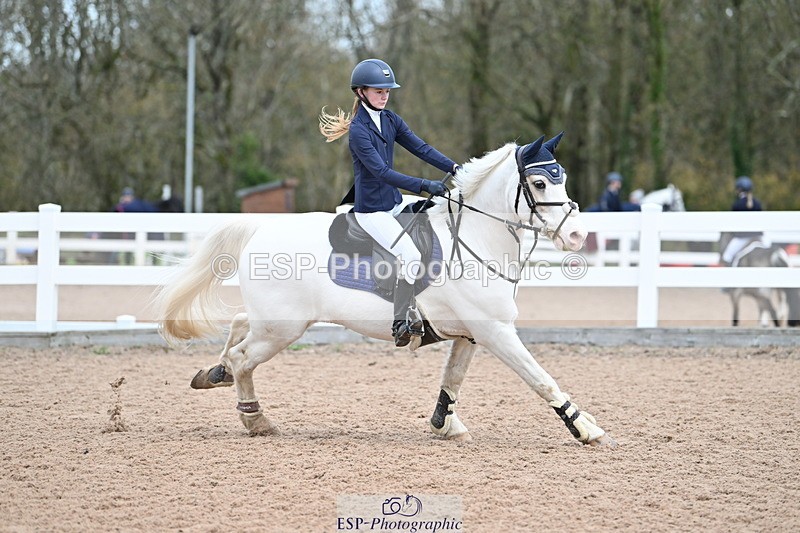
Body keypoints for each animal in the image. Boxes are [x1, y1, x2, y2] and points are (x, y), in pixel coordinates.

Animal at [155, 133, 618, 447]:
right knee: (242, 357)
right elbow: (542, 380)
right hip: (281, 329)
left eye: (561, 178)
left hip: (272, 321)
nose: (577, 236)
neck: (476, 237)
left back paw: (214, 373)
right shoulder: (496, 332)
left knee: (236, 328)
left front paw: (445, 424)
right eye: (539, 185)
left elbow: (452, 379)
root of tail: (259, 228)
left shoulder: (471, 333)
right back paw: (255, 420)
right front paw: (586, 428)